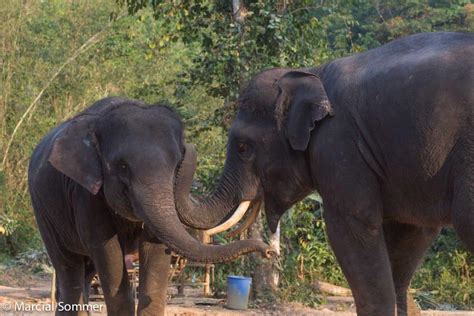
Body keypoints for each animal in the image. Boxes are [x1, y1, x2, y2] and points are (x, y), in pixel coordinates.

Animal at [28, 97, 274, 316]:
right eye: (122, 166)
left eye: (177, 163)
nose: (269, 252)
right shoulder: (85, 195)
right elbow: (107, 251)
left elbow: (155, 255)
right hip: (43, 212)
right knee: (69, 269)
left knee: (86, 273)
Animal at [173, 32, 474, 316]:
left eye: (243, 147)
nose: (270, 252)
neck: (312, 73)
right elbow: (412, 235)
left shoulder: (338, 146)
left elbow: (352, 227)